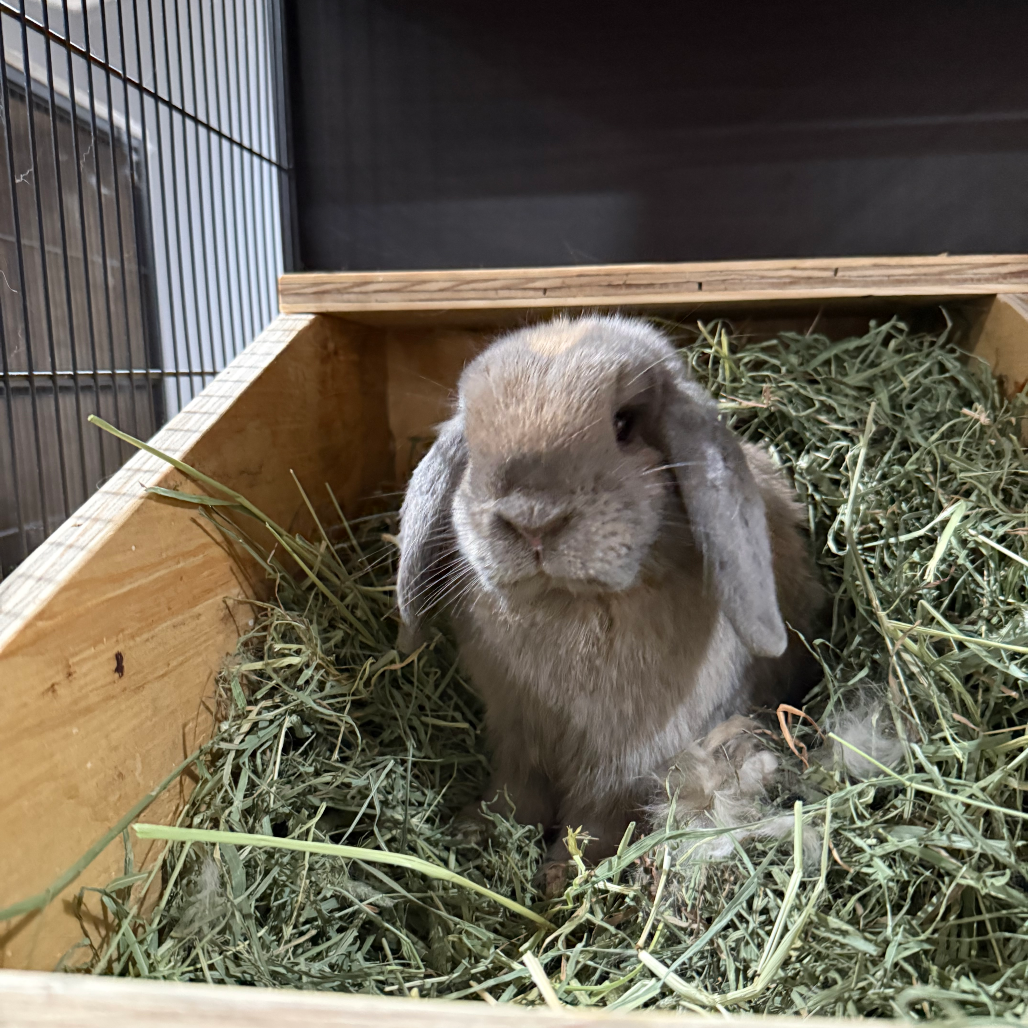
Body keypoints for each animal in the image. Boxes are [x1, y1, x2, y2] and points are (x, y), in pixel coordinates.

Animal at [395, 313, 823, 888]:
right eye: (475, 441)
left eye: (623, 424)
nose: (531, 520)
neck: (571, 604)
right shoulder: (516, 738)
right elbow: (515, 796)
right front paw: (478, 830)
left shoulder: (624, 764)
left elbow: (593, 819)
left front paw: (562, 877)